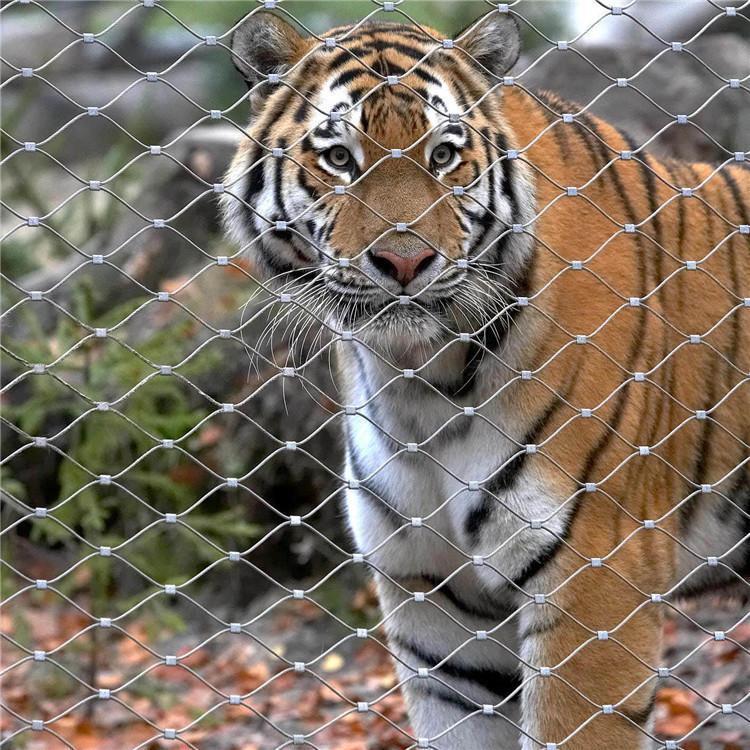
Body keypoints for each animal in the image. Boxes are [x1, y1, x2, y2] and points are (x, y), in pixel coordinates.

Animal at [220, 7, 748, 750]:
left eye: (443, 155)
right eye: (339, 158)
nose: (404, 262)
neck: (420, 383)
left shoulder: (597, 580)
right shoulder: (432, 599)